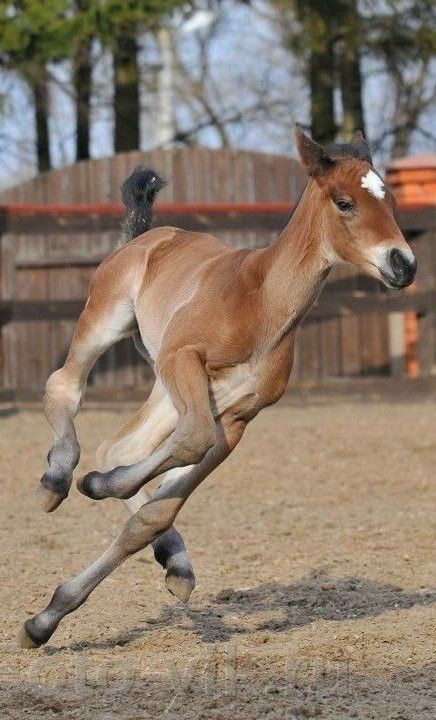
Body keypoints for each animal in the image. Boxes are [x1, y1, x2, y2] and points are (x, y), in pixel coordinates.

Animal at [20, 126, 416, 648]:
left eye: (391, 200)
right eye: (345, 202)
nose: (404, 264)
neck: (263, 303)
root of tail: (146, 236)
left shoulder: (237, 418)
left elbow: (156, 509)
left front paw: (47, 617)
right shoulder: (184, 357)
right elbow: (188, 443)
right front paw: (91, 486)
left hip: (168, 389)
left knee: (121, 447)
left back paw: (173, 559)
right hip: (111, 324)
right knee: (63, 386)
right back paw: (56, 479)